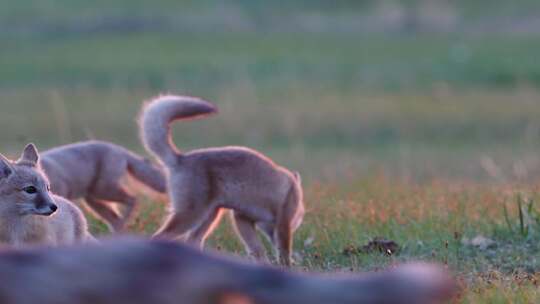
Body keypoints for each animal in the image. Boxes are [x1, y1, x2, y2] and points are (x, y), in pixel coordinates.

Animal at [139, 95, 306, 266]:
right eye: (297, 219)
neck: (294, 189)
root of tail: (180, 158)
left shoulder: (241, 218)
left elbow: (257, 251)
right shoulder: (282, 222)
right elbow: (283, 254)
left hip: (210, 216)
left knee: (192, 241)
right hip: (191, 215)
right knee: (157, 238)